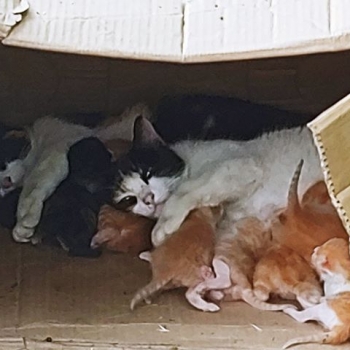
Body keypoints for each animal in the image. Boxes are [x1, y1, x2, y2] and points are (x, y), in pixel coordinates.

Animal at [113, 115, 324, 246]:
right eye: (128, 199)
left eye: (147, 173)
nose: (148, 199)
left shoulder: (240, 166)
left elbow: (184, 192)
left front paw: (162, 228)